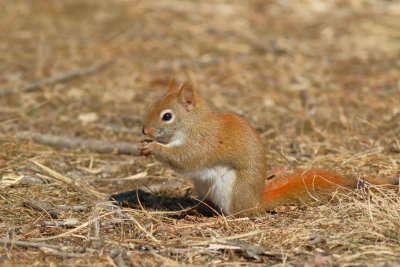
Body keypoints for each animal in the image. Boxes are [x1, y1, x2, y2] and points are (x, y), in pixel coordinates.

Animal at [138, 80, 400, 217]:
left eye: (167, 116)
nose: (144, 131)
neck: (194, 125)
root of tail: (256, 202)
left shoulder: (205, 143)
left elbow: (186, 159)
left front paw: (155, 149)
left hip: (232, 190)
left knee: (238, 215)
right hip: (204, 188)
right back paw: (194, 209)